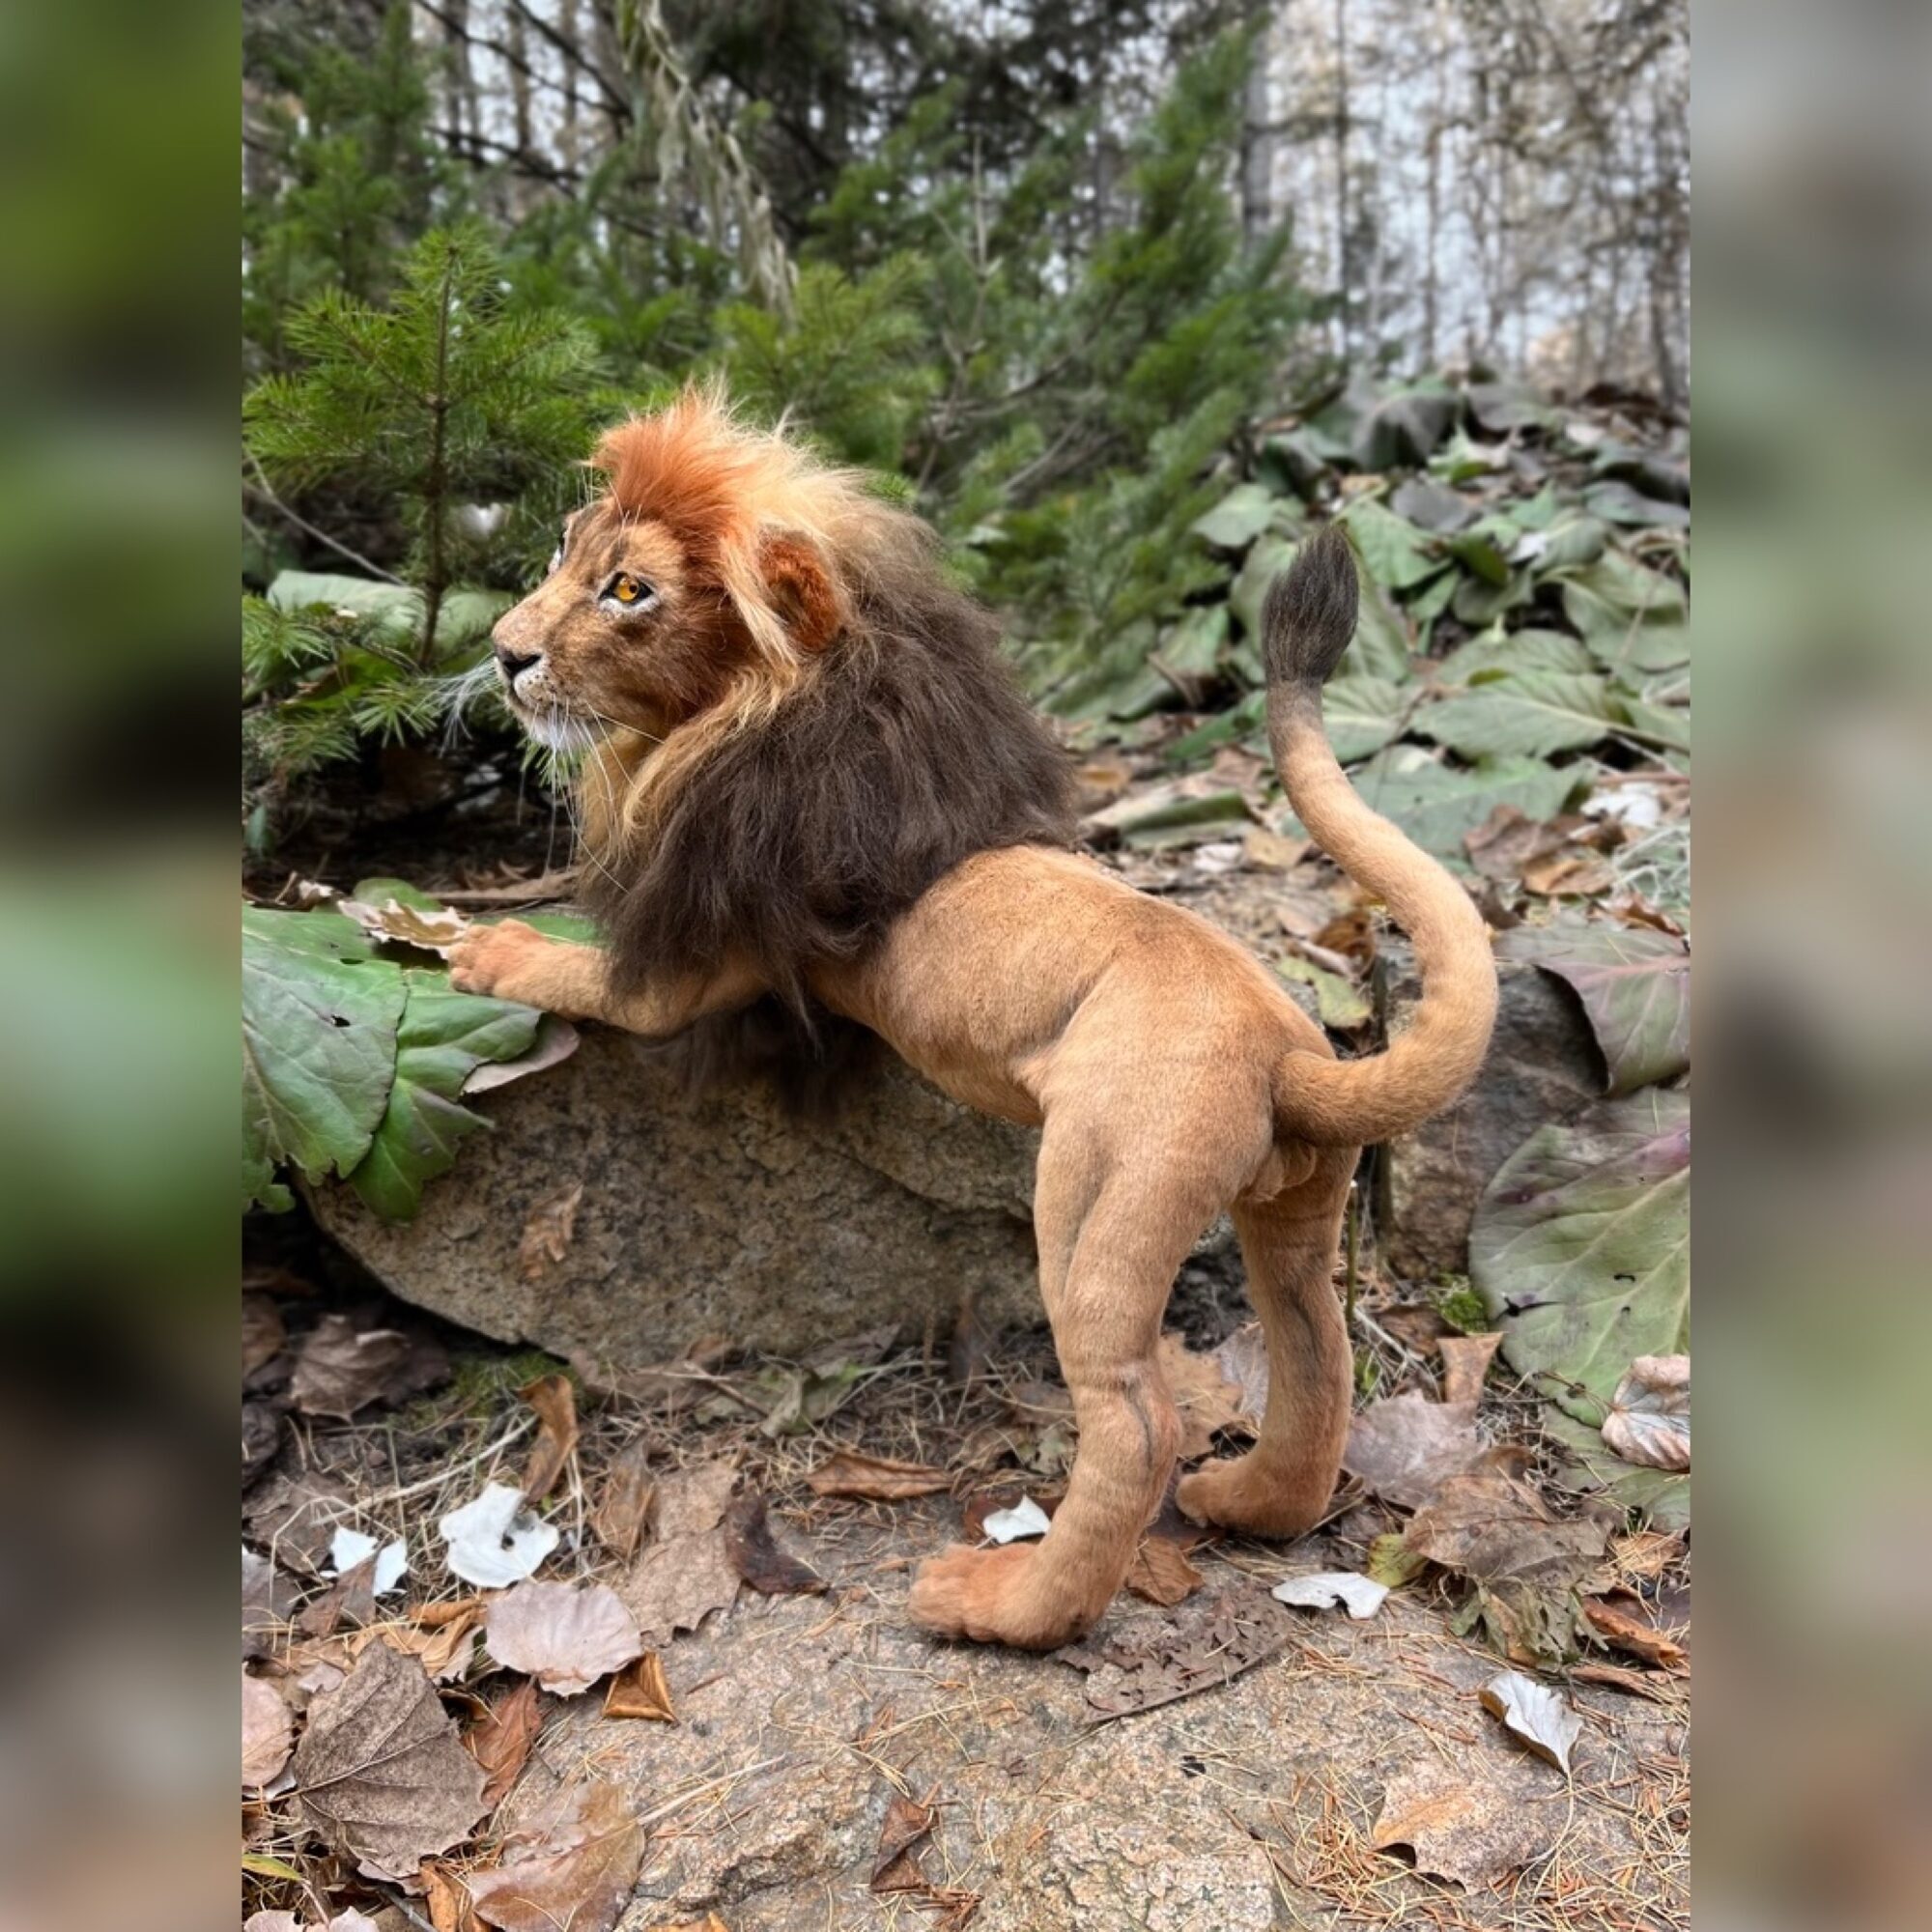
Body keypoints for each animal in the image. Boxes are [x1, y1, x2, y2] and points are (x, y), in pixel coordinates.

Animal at [448, 388, 1498, 1650]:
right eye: (563, 549)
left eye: (627, 591)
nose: (503, 651)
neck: (731, 727)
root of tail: (1288, 1055)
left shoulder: (702, 964)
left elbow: (590, 976)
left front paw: (480, 945)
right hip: (1295, 1202)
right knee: (1314, 1352)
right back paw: (1246, 1501)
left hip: (1098, 1188)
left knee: (1135, 1418)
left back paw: (997, 1603)